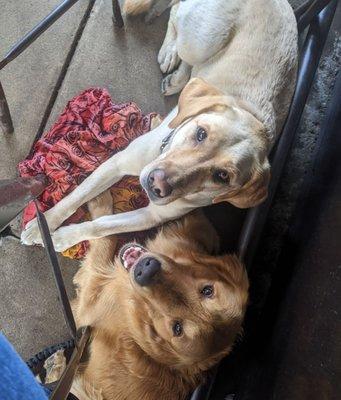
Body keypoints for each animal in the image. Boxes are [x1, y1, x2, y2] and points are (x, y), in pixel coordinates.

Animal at [71, 191, 247, 400]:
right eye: (207, 290)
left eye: (177, 328)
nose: (146, 271)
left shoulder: (89, 304)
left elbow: (104, 241)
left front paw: (100, 204)